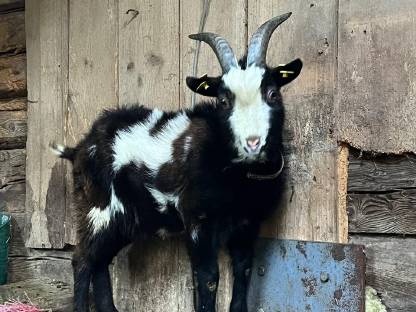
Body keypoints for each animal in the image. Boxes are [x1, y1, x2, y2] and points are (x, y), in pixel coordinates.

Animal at [53, 12, 304, 312]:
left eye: (273, 94)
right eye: (222, 101)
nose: (253, 143)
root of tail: (79, 147)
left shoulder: (247, 222)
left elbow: (243, 271)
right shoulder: (196, 218)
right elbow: (208, 277)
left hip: (126, 218)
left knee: (101, 261)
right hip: (97, 208)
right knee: (83, 259)